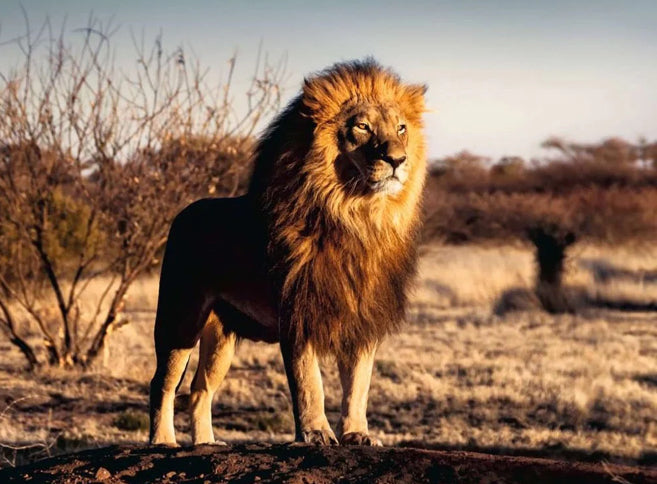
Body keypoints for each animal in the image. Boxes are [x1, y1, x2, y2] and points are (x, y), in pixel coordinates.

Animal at [149, 59, 427, 446]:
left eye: (401, 128)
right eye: (362, 126)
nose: (398, 159)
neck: (356, 217)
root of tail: (183, 213)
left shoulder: (362, 317)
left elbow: (358, 385)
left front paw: (357, 433)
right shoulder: (298, 312)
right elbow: (310, 383)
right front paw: (316, 433)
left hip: (220, 337)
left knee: (200, 389)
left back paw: (205, 443)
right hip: (180, 319)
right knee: (163, 383)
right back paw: (162, 441)